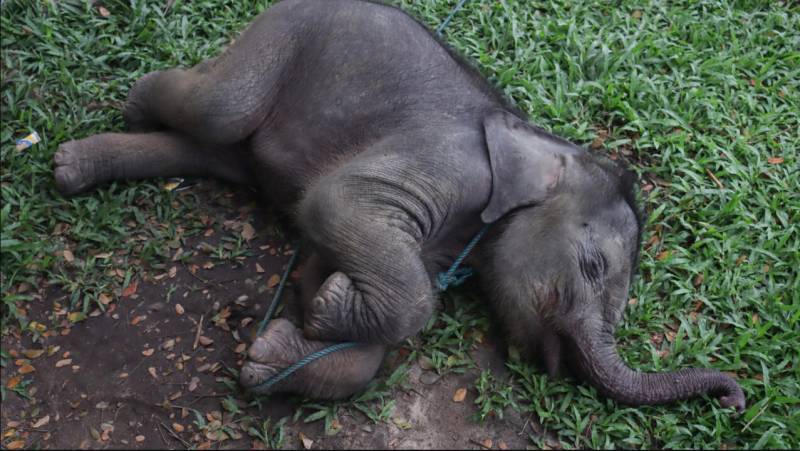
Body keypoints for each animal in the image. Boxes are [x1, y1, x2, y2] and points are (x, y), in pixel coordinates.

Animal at [53, 0, 745, 410]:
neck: (544, 140)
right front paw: (326, 311)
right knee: (220, 109)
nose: (735, 399)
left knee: (211, 148)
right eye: (594, 267)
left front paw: (282, 342)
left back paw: (71, 166)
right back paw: (131, 104)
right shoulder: (449, 162)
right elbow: (341, 204)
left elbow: (335, 283)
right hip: (285, 33)